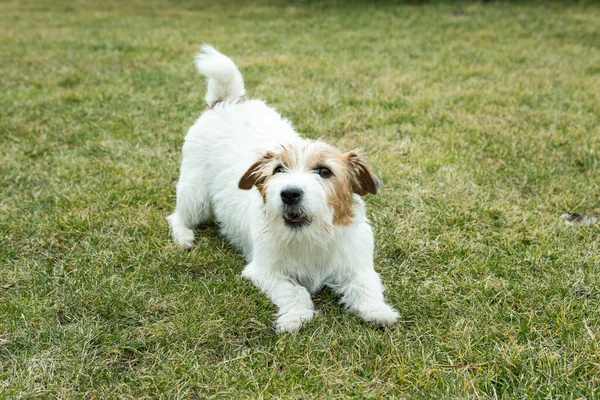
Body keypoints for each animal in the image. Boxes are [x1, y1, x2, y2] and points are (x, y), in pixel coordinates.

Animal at [166, 45, 398, 332]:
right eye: (278, 169)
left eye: (324, 171)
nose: (289, 193)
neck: (309, 237)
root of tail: (228, 100)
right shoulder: (266, 272)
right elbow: (294, 291)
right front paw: (295, 317)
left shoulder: (358, 266)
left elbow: (366, 286)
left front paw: (378, 311)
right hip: (195, 195)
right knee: (176, 216)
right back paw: (184, 237)